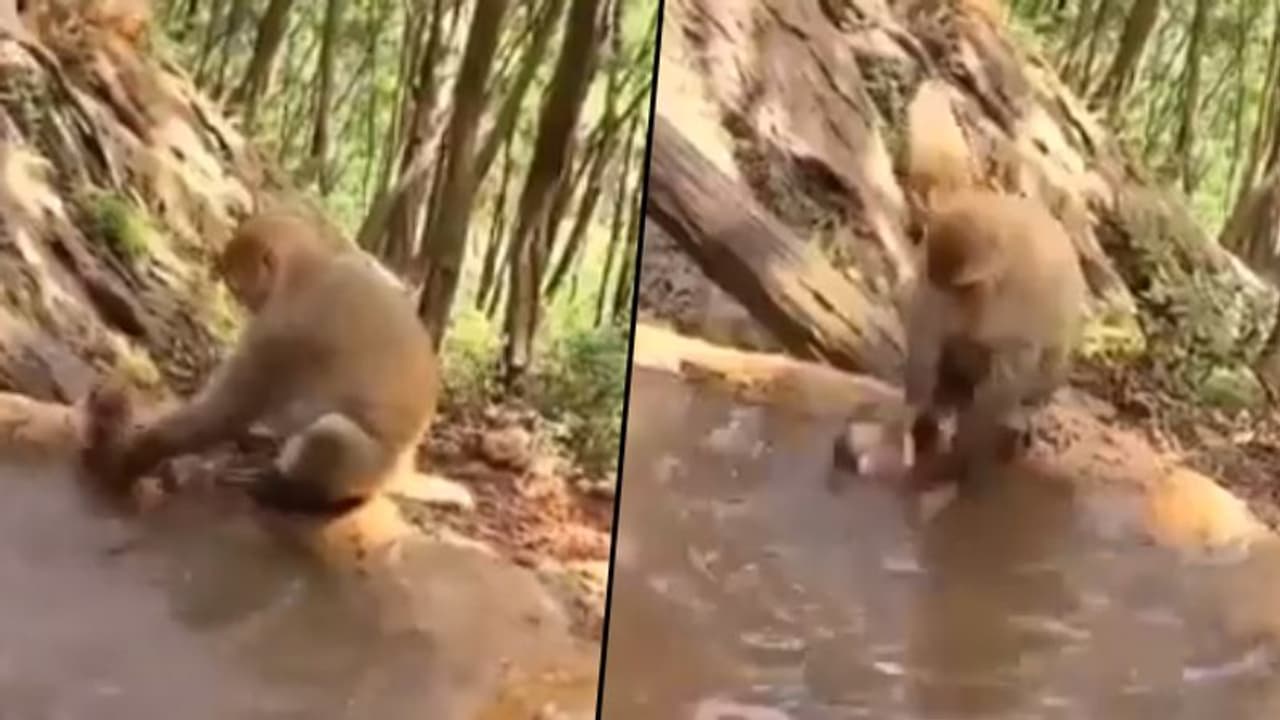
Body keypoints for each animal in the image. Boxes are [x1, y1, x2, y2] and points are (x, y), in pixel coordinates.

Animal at [84, 211, 440, 515]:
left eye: (235, 283)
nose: (246, 303)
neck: (311, 266)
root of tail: (406, 468)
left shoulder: (281, 331)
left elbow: (224, 413)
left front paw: (132, 456)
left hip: (374, 470)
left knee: (331, 435)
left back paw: (292, 491)